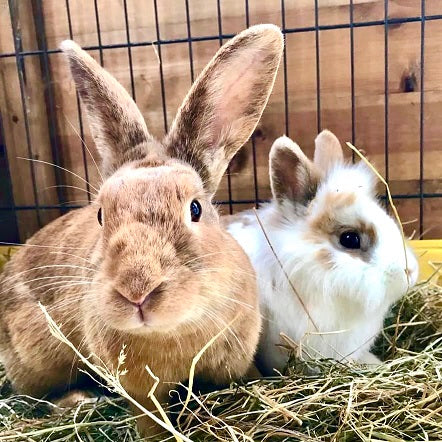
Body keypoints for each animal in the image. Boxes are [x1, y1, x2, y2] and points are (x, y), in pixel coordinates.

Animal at [0, 24, 284, 436]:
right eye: (101, 215)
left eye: (195, 209)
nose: (137, 289)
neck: (172, 329)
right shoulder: (142, 394)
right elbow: (151, 422)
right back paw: (80, 400)